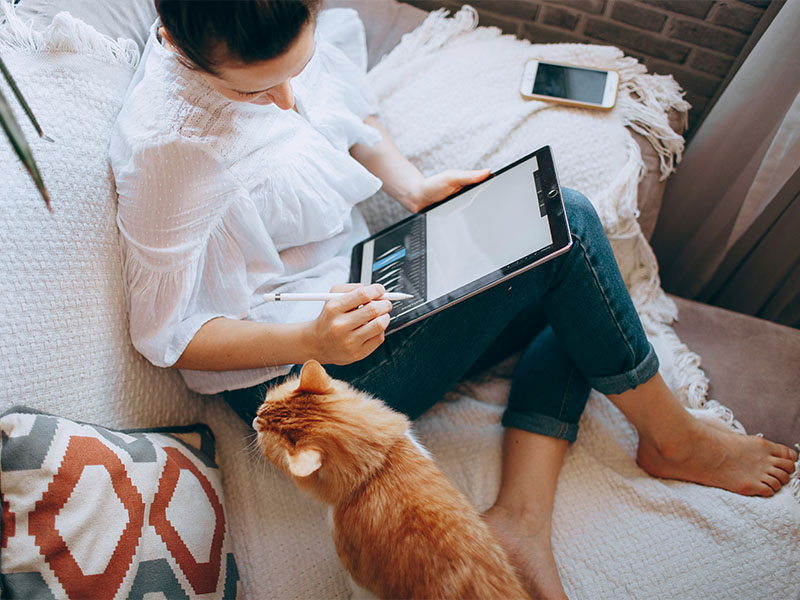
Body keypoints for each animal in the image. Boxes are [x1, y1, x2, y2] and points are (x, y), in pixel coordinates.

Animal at [253, 360, 528, 600]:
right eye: (264, 405)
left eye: (263, 434)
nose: (255, 420)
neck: (377, 468)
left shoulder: (357, 574)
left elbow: (357, 590)